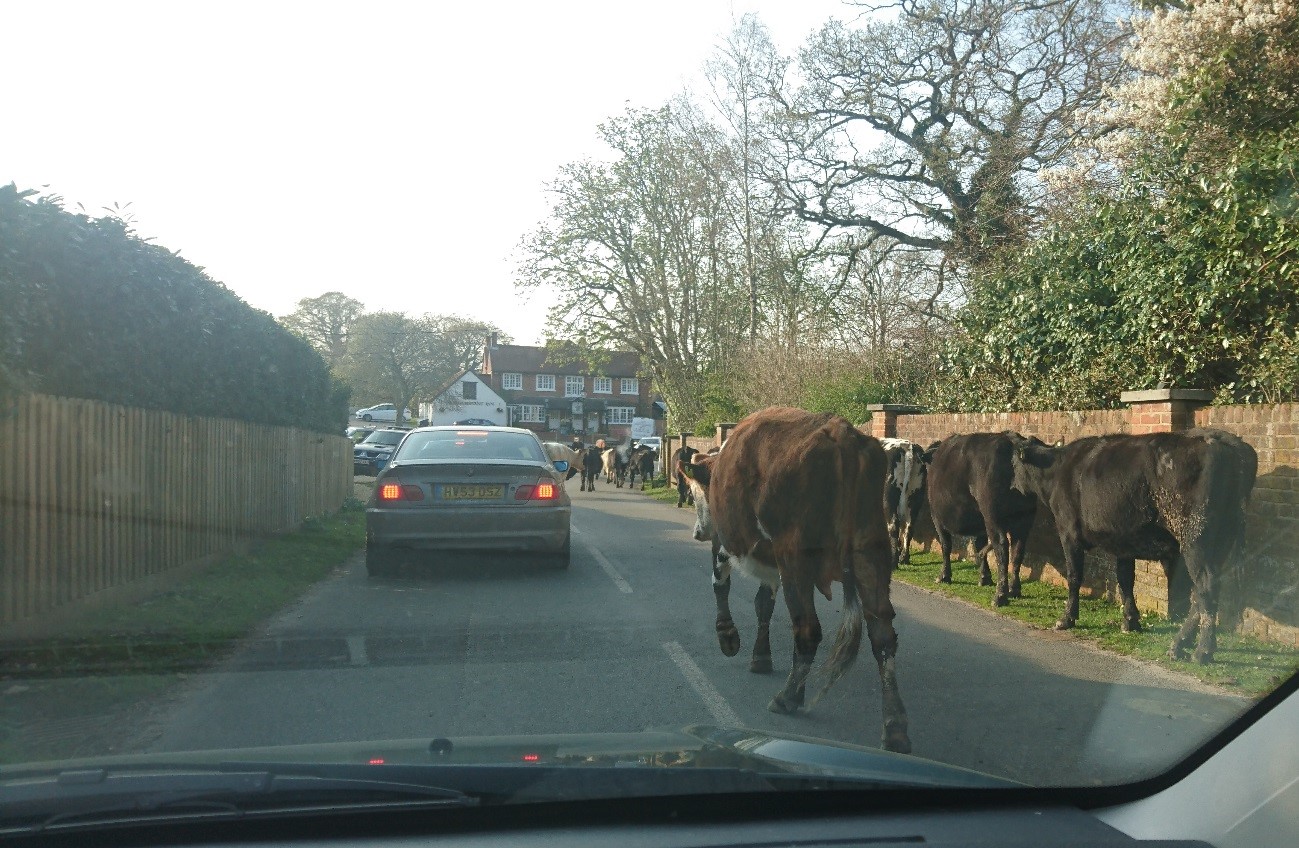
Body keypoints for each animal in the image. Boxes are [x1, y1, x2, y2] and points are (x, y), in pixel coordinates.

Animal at [685, 407, 909, 753]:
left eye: (697, 494)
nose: (698, 532)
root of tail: (842, 434)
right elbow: (763, 604)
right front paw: (761, 657)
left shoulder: (725, 544)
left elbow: (720, 586)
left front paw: (728, 638)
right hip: (870, 553)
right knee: (882, 635)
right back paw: (895, 727)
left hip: (795, 557)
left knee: (807, 629)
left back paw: (788, 697)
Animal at [878, 436, 930, 568]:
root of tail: (908, 447)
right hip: (916, 496)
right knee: (909, 527)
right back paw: (904, 558)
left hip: (888, 498)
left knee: (894, 525)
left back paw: (893, 561)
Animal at [919, 433, 1039, 605]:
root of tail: (1013, 443)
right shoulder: (980, 524)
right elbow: (979, 545)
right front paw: (985, 577)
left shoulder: (937, 519)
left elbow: (946, 545)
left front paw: (944, 575)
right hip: (1024, 521)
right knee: (1017, 550)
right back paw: (1014, 590)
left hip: (993, 518)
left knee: (1001, 546)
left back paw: (1000, 595)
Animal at [1008, 431, 1252, 662]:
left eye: (1013, 463)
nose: (1010, 486)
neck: (1057, 470)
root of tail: (1221, 441)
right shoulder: (1123, 541)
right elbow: (1125, 579)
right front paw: (1131, 621)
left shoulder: (1069, 533)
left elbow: (1074, 577)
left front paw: (1067, 618)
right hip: (1220, 542)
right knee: (1200, 594)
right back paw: (1179, 644)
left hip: (1195, 540)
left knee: (1205, 586)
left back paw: (1202, 650)